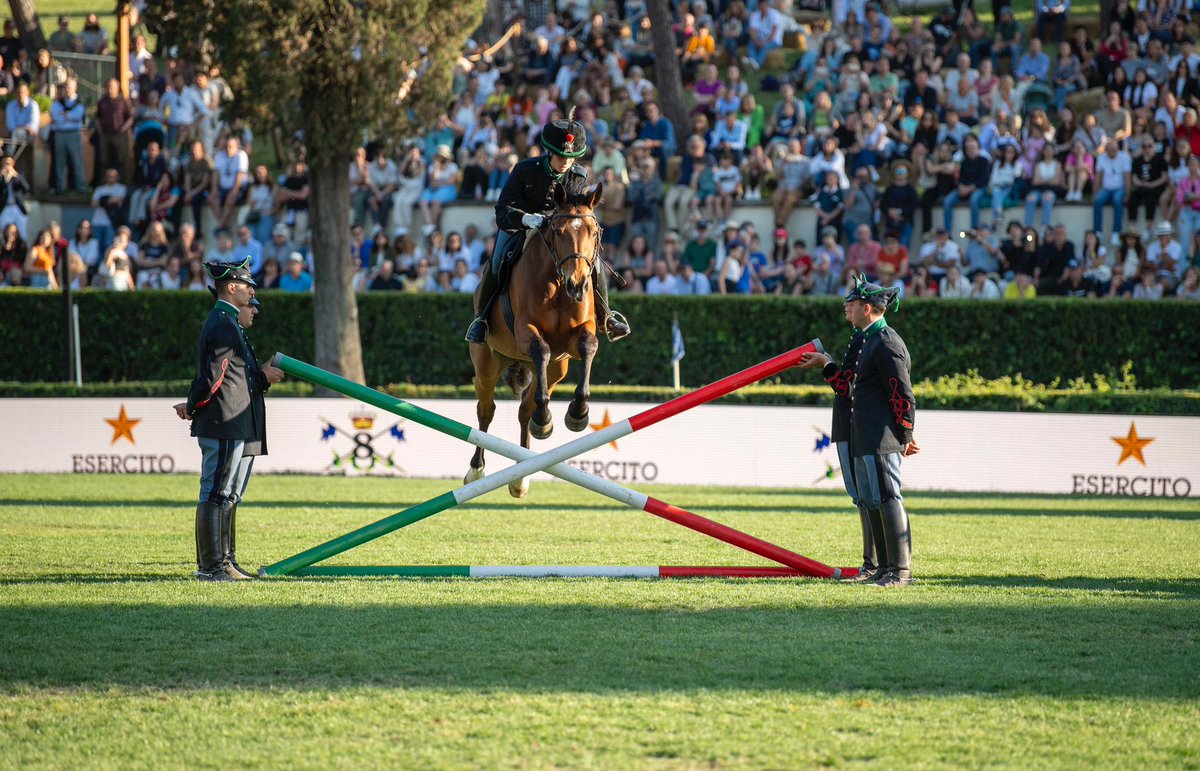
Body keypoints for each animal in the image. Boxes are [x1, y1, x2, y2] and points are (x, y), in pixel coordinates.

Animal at [463, 175, 604, 499]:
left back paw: (522, 474)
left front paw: (578, 414)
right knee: (486, 410)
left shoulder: (576, 338)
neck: (557, 283)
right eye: (557, 231)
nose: (577, 285)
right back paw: (477, 470)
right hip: (487, 363)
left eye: (594, 232)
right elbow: (541, 349)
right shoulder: (527, 331)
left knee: (525, 409)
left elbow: (588, 345)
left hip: (557, 370)